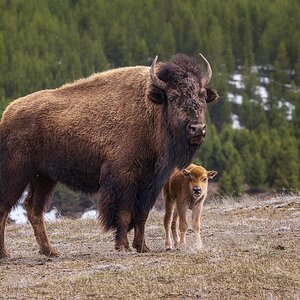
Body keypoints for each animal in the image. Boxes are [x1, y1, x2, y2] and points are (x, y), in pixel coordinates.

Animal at [0, 52, 220, 258]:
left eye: (202, 95)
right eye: (173, 97)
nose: (197, 129)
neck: (151, 110)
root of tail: (7, 114)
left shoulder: (149, 183)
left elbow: (142, 215)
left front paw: (142, 247)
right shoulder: (123, 179)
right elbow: (124, 214)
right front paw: (123, 246)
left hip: (44, 178)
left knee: (33, 209)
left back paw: (50, 251)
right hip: (17, 174)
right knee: (5, 207)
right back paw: (5, 253)